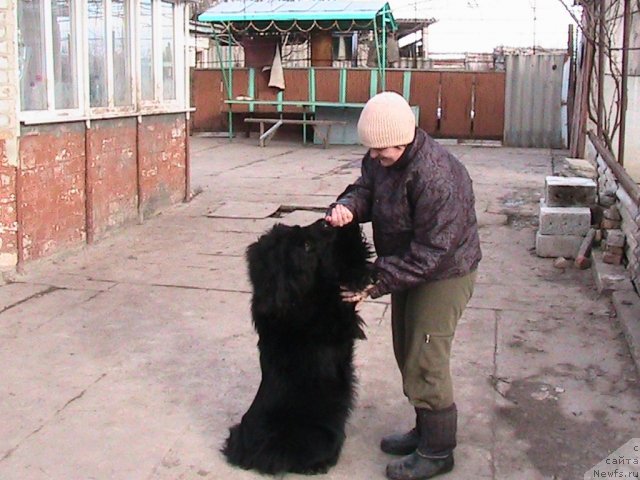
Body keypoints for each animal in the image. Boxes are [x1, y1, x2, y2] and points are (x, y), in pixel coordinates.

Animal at [224, 219, 372, 474]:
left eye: (298, 228)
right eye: (306, 246)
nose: (324, 221)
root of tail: (250, 454)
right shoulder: (335, 313)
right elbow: (349, 265)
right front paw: (349, 227)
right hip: (319, 437)